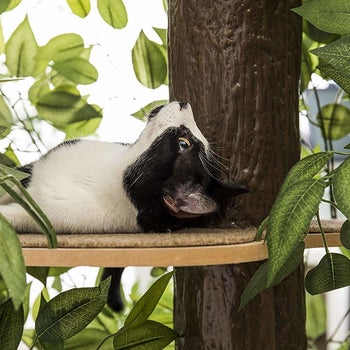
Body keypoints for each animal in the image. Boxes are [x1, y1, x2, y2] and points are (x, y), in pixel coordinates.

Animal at [0, 102, 246, 312]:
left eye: (183, 143)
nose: (185, 103)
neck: (115, 169)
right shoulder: (31, 170)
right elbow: (11, 178)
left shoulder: (47, 216)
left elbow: (16, 214)